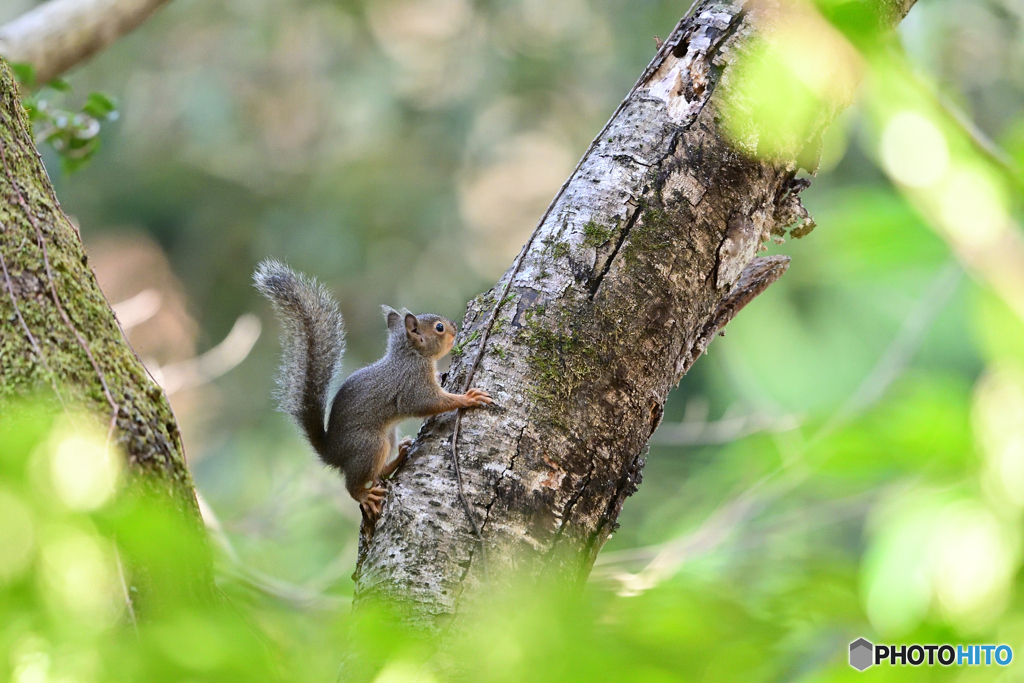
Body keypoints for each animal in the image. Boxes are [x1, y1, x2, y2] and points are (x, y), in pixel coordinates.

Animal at [256, 259, 495, 520]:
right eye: (439, 328)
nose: (455, 325)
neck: (410, 355)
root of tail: (332, 453)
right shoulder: (412, 383)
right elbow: (427, 403)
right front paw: (467, 397)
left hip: (388, 437)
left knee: (379, 473)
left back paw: (398, 457)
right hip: (371, 445)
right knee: (355, 483)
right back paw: (364, 495)